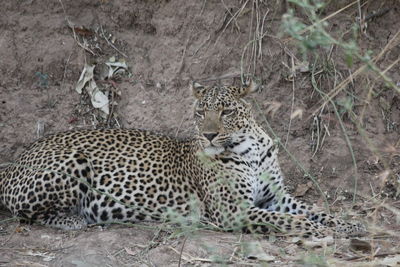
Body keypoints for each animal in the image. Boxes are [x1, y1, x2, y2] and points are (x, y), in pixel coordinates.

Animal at [0, 80, 366, 239]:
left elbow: (315, 210)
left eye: (226, 111)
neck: (250, 149)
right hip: (72, 162)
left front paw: (348, 224)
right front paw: (316, 230)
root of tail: (17, 161)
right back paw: (75, 220)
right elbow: (290, 221)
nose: (209, 135)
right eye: (200, 112)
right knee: (28, 215)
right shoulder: (234, 211)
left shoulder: (276, 197)